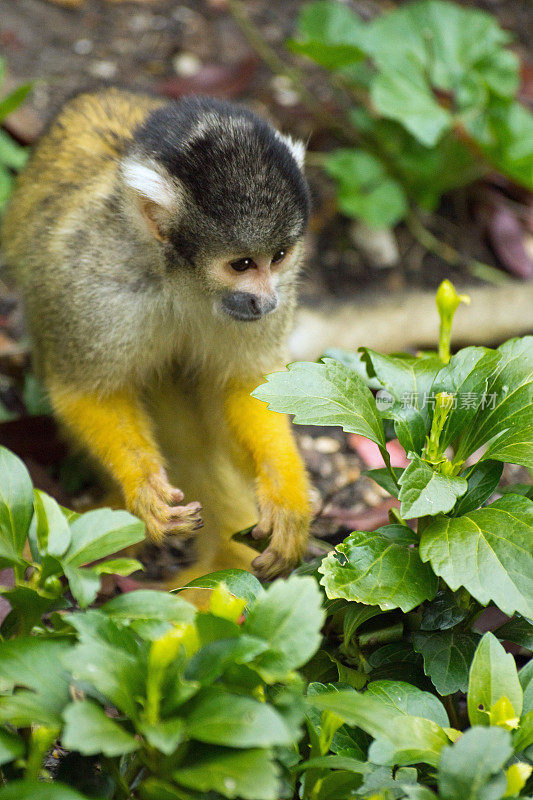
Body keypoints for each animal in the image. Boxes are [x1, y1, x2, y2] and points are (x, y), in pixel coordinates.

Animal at [1, 89, 312, 588]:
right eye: (242, 264)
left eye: (279, 257)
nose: (266, 301)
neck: (177, 280)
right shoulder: (91, 284)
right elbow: (86, 392)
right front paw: (143, 486)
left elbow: (248, 386)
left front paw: (286, 496)